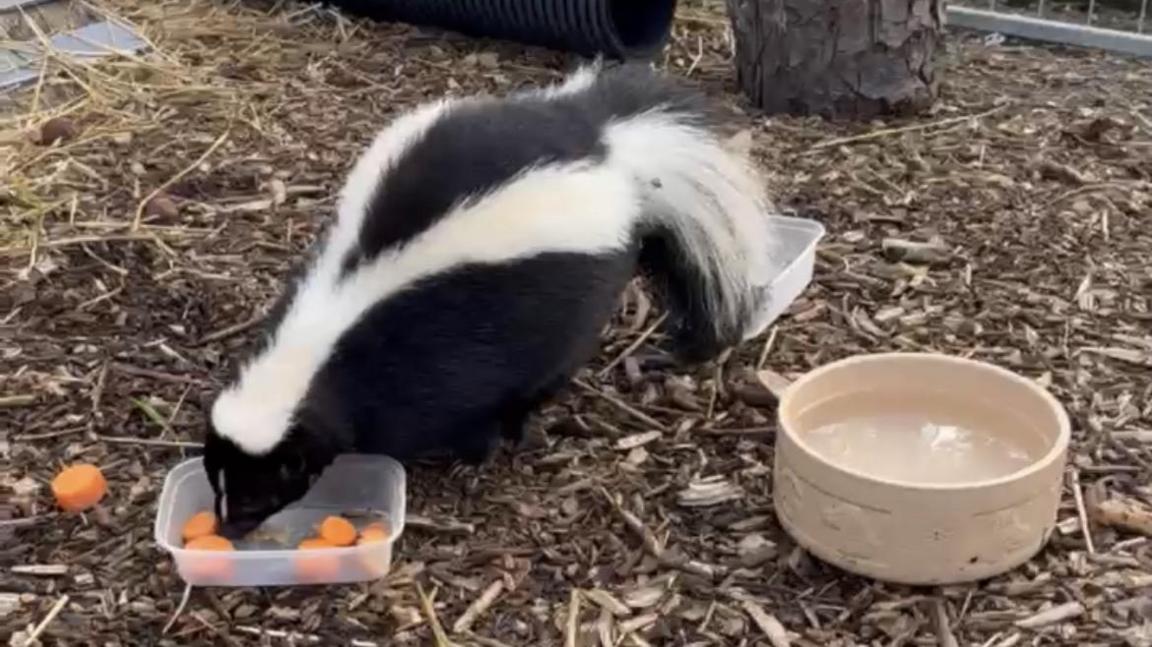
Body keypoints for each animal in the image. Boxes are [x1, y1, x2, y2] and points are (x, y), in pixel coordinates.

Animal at [205, 61, 783, 534]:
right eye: (217, 478)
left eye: (261, 490)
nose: (229, 529)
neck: (331, 320)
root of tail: (600, 138)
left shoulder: (435, 361)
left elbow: (455, 410)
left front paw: (469, 458)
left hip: (575, 300)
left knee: (547, 372)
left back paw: (521, 426)